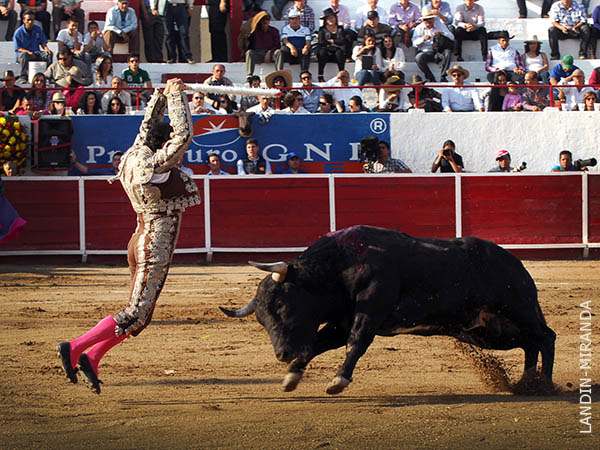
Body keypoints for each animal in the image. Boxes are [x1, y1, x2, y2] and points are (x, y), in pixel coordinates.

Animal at [221, 225, 556, 394]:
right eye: (262, 320)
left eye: (282, 304)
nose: (283, 354)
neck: (340, 265)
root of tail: (515, 263)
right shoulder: (341, 322)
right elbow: (319, 343)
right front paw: (292, 376)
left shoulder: (369, 312)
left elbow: (356, 344)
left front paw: (338, 381)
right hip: (489, 331)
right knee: (531, 343)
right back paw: (527, 383)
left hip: (518, 310)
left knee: (546, 337)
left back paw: (544, 384)